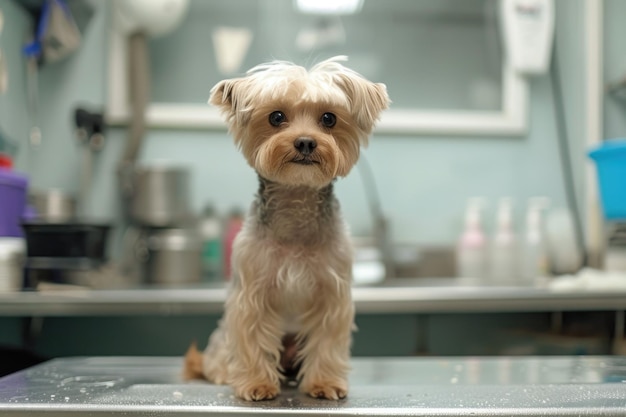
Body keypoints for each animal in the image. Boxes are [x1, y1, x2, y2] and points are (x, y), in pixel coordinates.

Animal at [183, 55, 388, 400]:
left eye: (329, 118)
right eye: (276, 116)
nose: (305, 142)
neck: (296, 202)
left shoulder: (331, 295)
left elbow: (327, 341)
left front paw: (324, 382)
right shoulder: (251, 293)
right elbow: (251, 337)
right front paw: (256, 383)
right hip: (223, 337)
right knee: (222, 354)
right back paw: (226, 372)